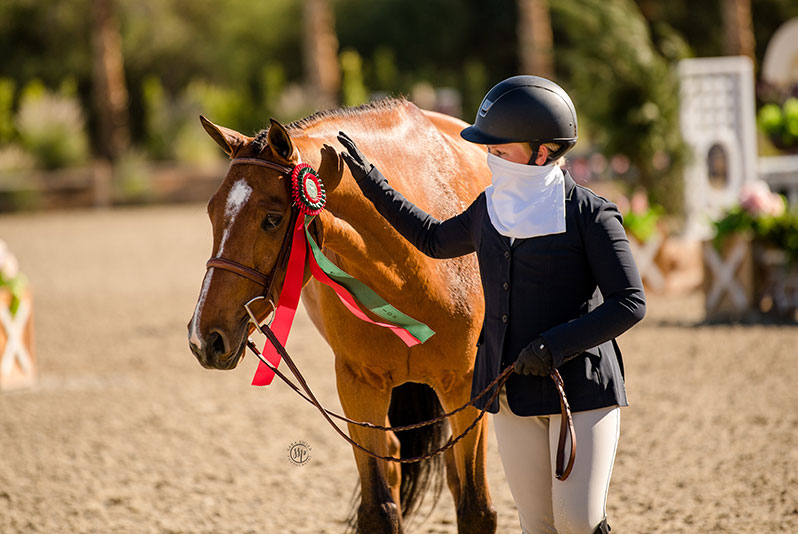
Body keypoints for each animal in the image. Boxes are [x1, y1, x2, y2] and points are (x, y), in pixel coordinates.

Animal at [190, 97, 496, 534]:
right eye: (213, 211)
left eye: (272, 218)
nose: (204, 338)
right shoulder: (358, 386)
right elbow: (379, 510)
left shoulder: (467, 384)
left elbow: (476, 508)